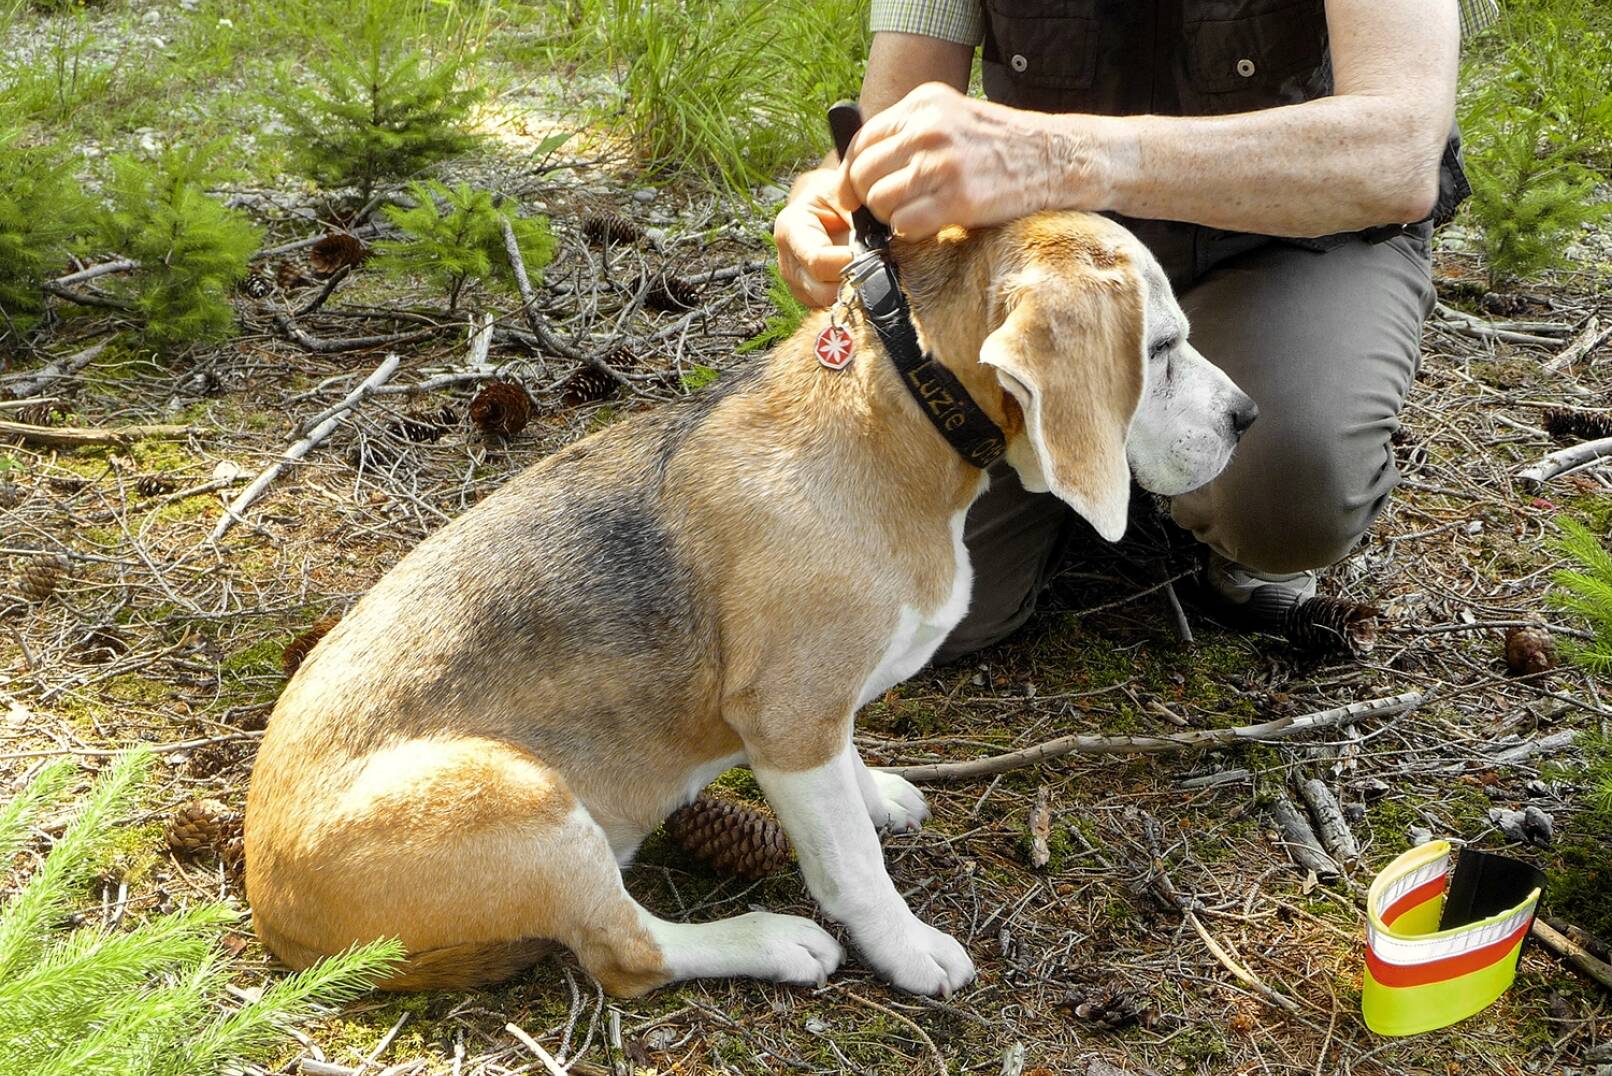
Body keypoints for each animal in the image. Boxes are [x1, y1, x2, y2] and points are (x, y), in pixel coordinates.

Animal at [245, 209, 1250, 1000]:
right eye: (1158, 350)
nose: (1246, 418)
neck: (893, 413)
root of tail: (276, 918)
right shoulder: (789, 718)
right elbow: (853, 867)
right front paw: (906, 948)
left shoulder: (817, 721)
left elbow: (850, 780)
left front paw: (876, 793)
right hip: (522, 796)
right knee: (628, 955)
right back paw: (773, 941)